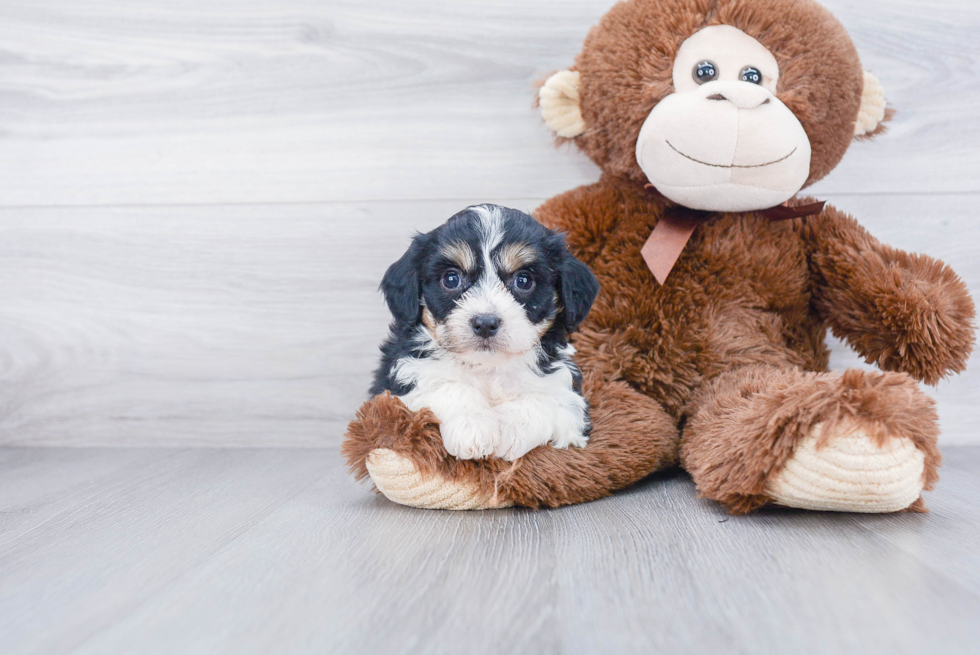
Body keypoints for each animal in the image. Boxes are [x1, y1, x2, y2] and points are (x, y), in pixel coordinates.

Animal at [372, 205, 600, 462]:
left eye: (524, 281)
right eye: (451, 279)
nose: (485, 323)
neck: (488, 367)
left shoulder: (570, 400)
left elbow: (545, 400)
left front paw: (510, 427)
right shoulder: (396, 386)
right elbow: (447, 386)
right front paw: (472, 427)